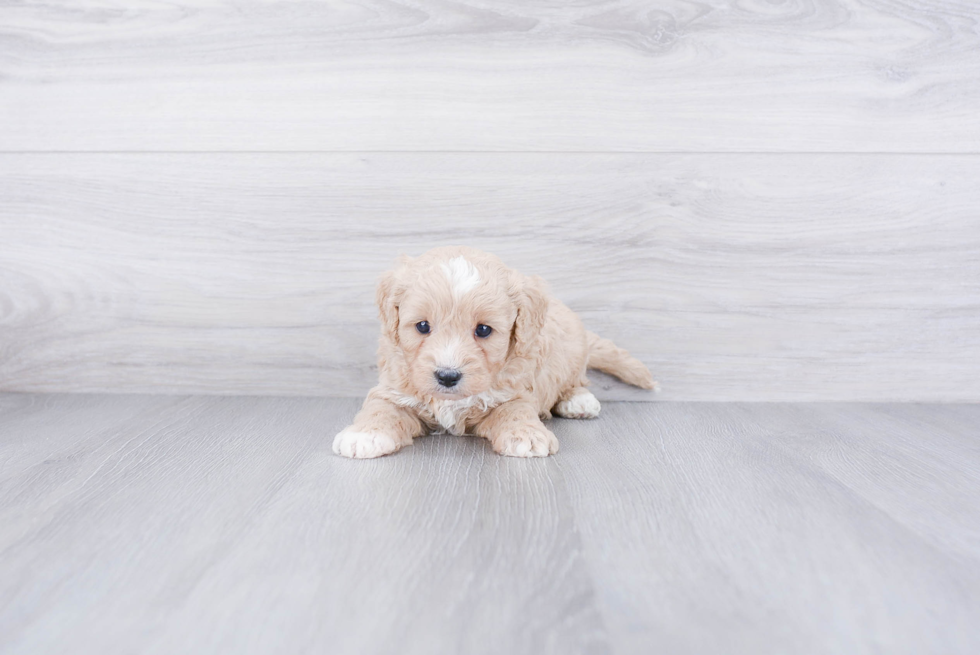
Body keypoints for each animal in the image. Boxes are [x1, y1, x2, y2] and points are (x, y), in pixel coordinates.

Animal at [334, 247, 656, 462]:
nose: (447, 376)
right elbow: (380, 409)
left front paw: (527, 435)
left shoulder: (513, 393)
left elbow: (515, 411)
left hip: (573, 351)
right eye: (422, 326)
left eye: (484, 330)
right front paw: (365, 434)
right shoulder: (393, 390)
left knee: (575, 380)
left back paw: (579, 400)